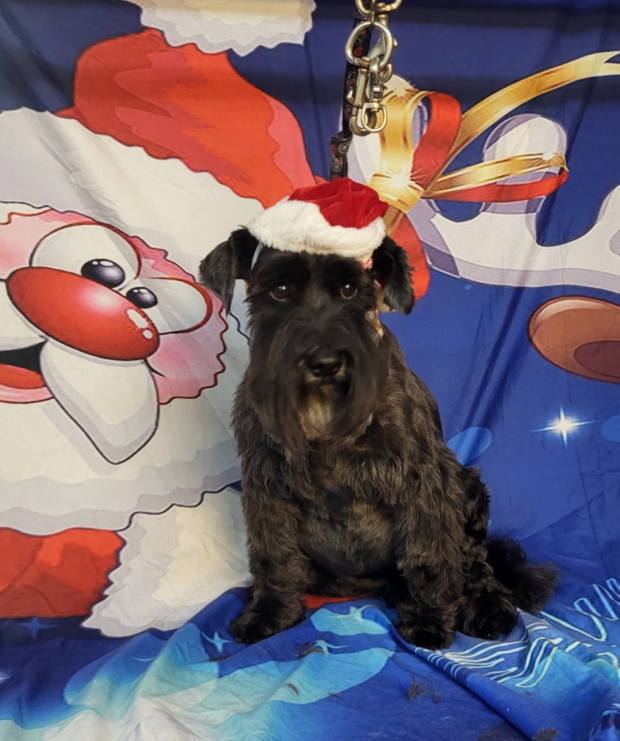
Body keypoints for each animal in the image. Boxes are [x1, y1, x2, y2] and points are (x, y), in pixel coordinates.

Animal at [200, 227, 556, 648]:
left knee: (476, 564)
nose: (325, 362)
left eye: (350, 289)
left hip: (468, 487)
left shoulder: (423, 483)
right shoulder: (267, 485)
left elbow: (429, 556)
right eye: (281, 289)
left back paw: (486, 609)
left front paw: (430, 620)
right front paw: (270, 612)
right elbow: (274, 554)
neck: (323, 416)